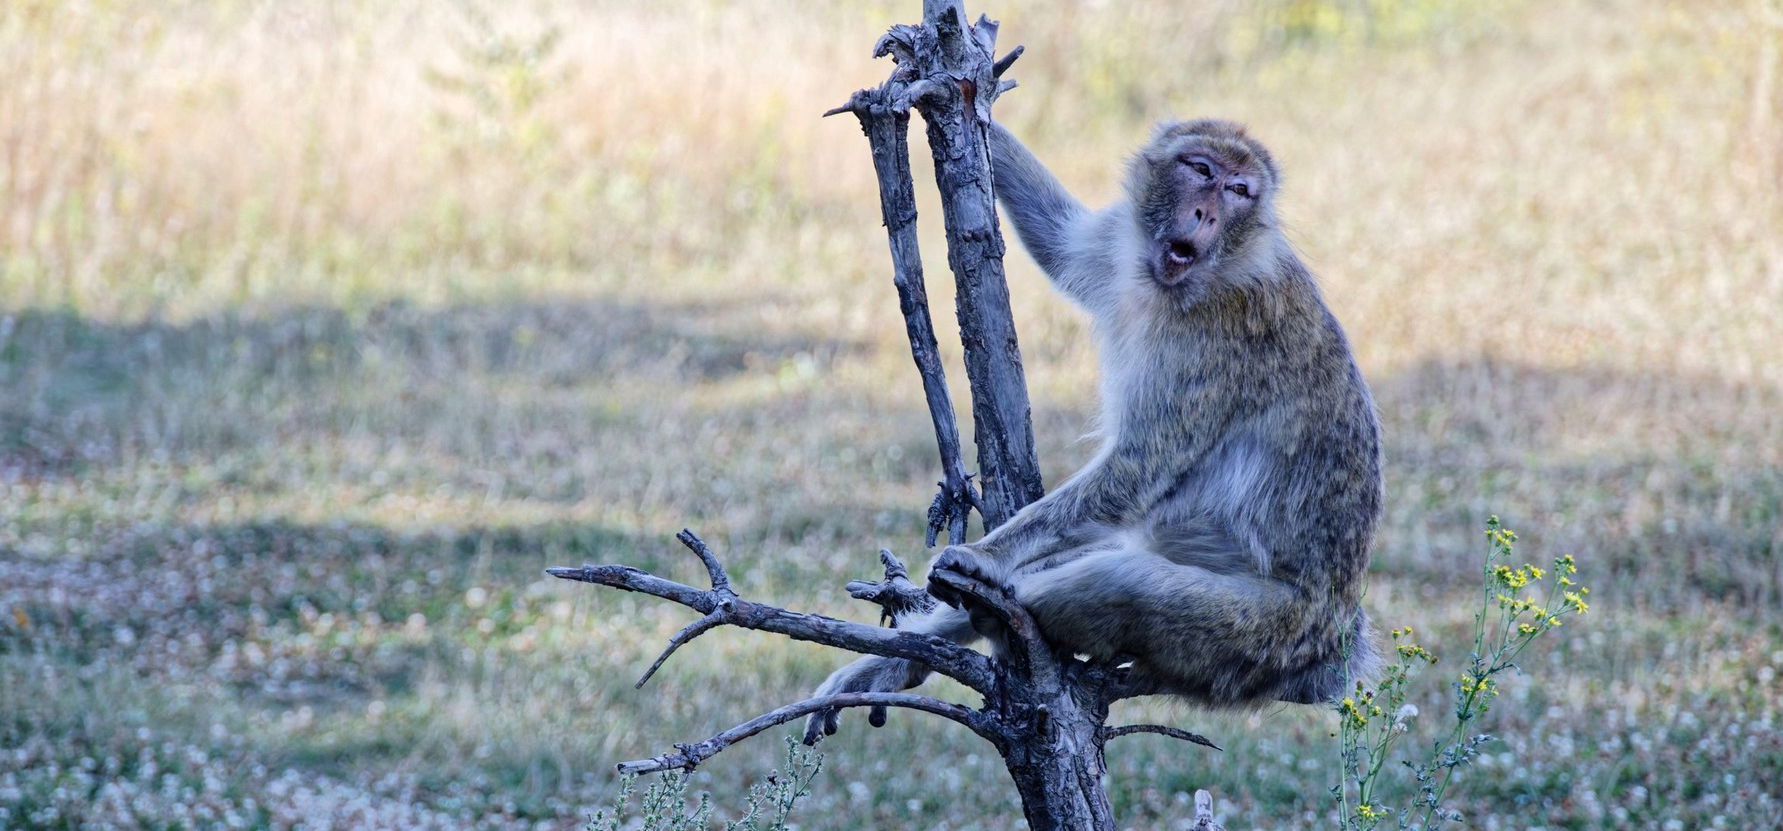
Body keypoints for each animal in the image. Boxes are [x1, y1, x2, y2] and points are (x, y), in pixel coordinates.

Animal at [805, 115, 1376, 741]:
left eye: (1239, 191)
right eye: (1201, 169)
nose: (1206, 214)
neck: (1205, 275)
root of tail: (1329, 646)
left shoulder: (1218, 343)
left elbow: (1138, 469)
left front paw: (984, 557)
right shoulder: (1117, 245)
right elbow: (1063, 240)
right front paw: (955, 104)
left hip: (1253, 638)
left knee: (1122, 584)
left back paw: (1001, 608)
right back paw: (898, 663)